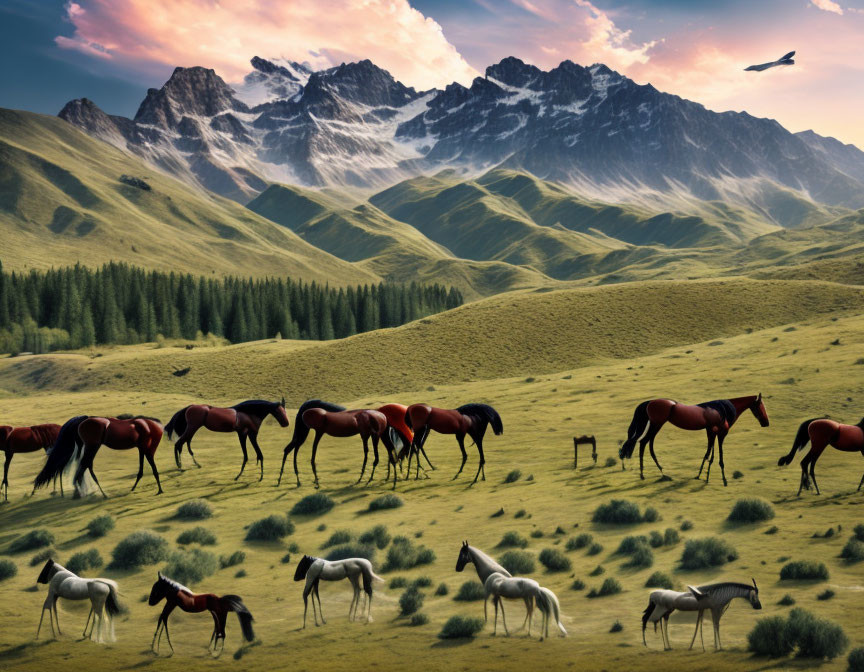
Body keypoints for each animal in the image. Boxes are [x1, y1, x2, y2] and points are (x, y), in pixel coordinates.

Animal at [33, 414, 165, 498]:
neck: (149, 427)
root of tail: (85, 419)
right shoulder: (147, 449)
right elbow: (154, 469)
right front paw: (160, 490)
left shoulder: (142, 449)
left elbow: (141, 471)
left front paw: (134, 488)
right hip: (93, 447)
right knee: (85, 465)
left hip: (91, 447)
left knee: (84, 466)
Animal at [276, 400, 414, 488]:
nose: (403, 458)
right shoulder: (369, 434)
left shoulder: (370, 434)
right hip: (308, 432)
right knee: (292, 449)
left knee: (292, 448)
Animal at [620, 392, 768, 486]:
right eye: (760, 406)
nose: (766, 423)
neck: (722, 409)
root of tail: (649, 402)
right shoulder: (720, 433)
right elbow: (717, 455)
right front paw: (722, 479)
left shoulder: (711, 431)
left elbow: (709, 453)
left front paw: (702, 476)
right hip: (657, 425)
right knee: (645, 443)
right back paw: (657, 473)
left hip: (655, 425)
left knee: (644, 443)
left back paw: (651, 474)